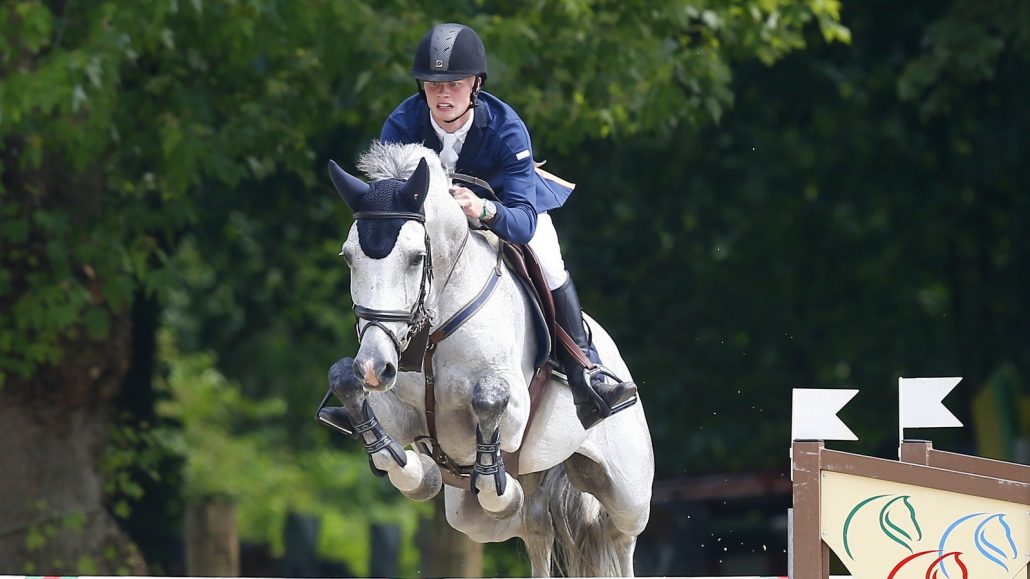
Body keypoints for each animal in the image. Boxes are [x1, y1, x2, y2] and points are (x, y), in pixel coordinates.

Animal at [317, 142, 650, 572]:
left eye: (415, 257)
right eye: (348, 257)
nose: (374, 368)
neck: (434, 324)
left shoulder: (515, 411)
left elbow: (489, 399)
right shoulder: (396, 410)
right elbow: (356, 399)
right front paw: (422, 473)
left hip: (628, 494)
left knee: (618, 534)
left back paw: (599, 389)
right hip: (472, 514)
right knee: (534, 525)